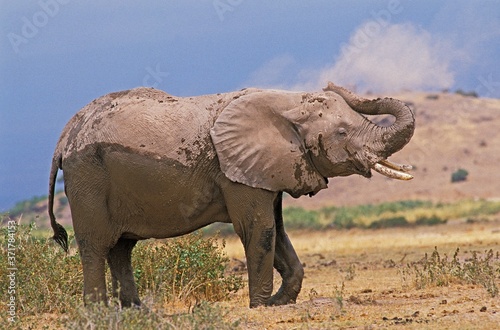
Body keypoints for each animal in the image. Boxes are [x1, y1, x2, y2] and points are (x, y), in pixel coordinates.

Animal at [47, 81, 414, 308]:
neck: (288, 102)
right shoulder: (236, 170)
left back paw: (135, 311)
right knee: (96, 246)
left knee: (121, 249)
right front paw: (261, 306)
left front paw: (279, 303)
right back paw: (99, 312)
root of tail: (66, 134)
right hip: (88, 177)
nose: (331, 82)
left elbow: (277, 230)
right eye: (341, 133)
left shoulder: (265, 168)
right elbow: (260, 230)